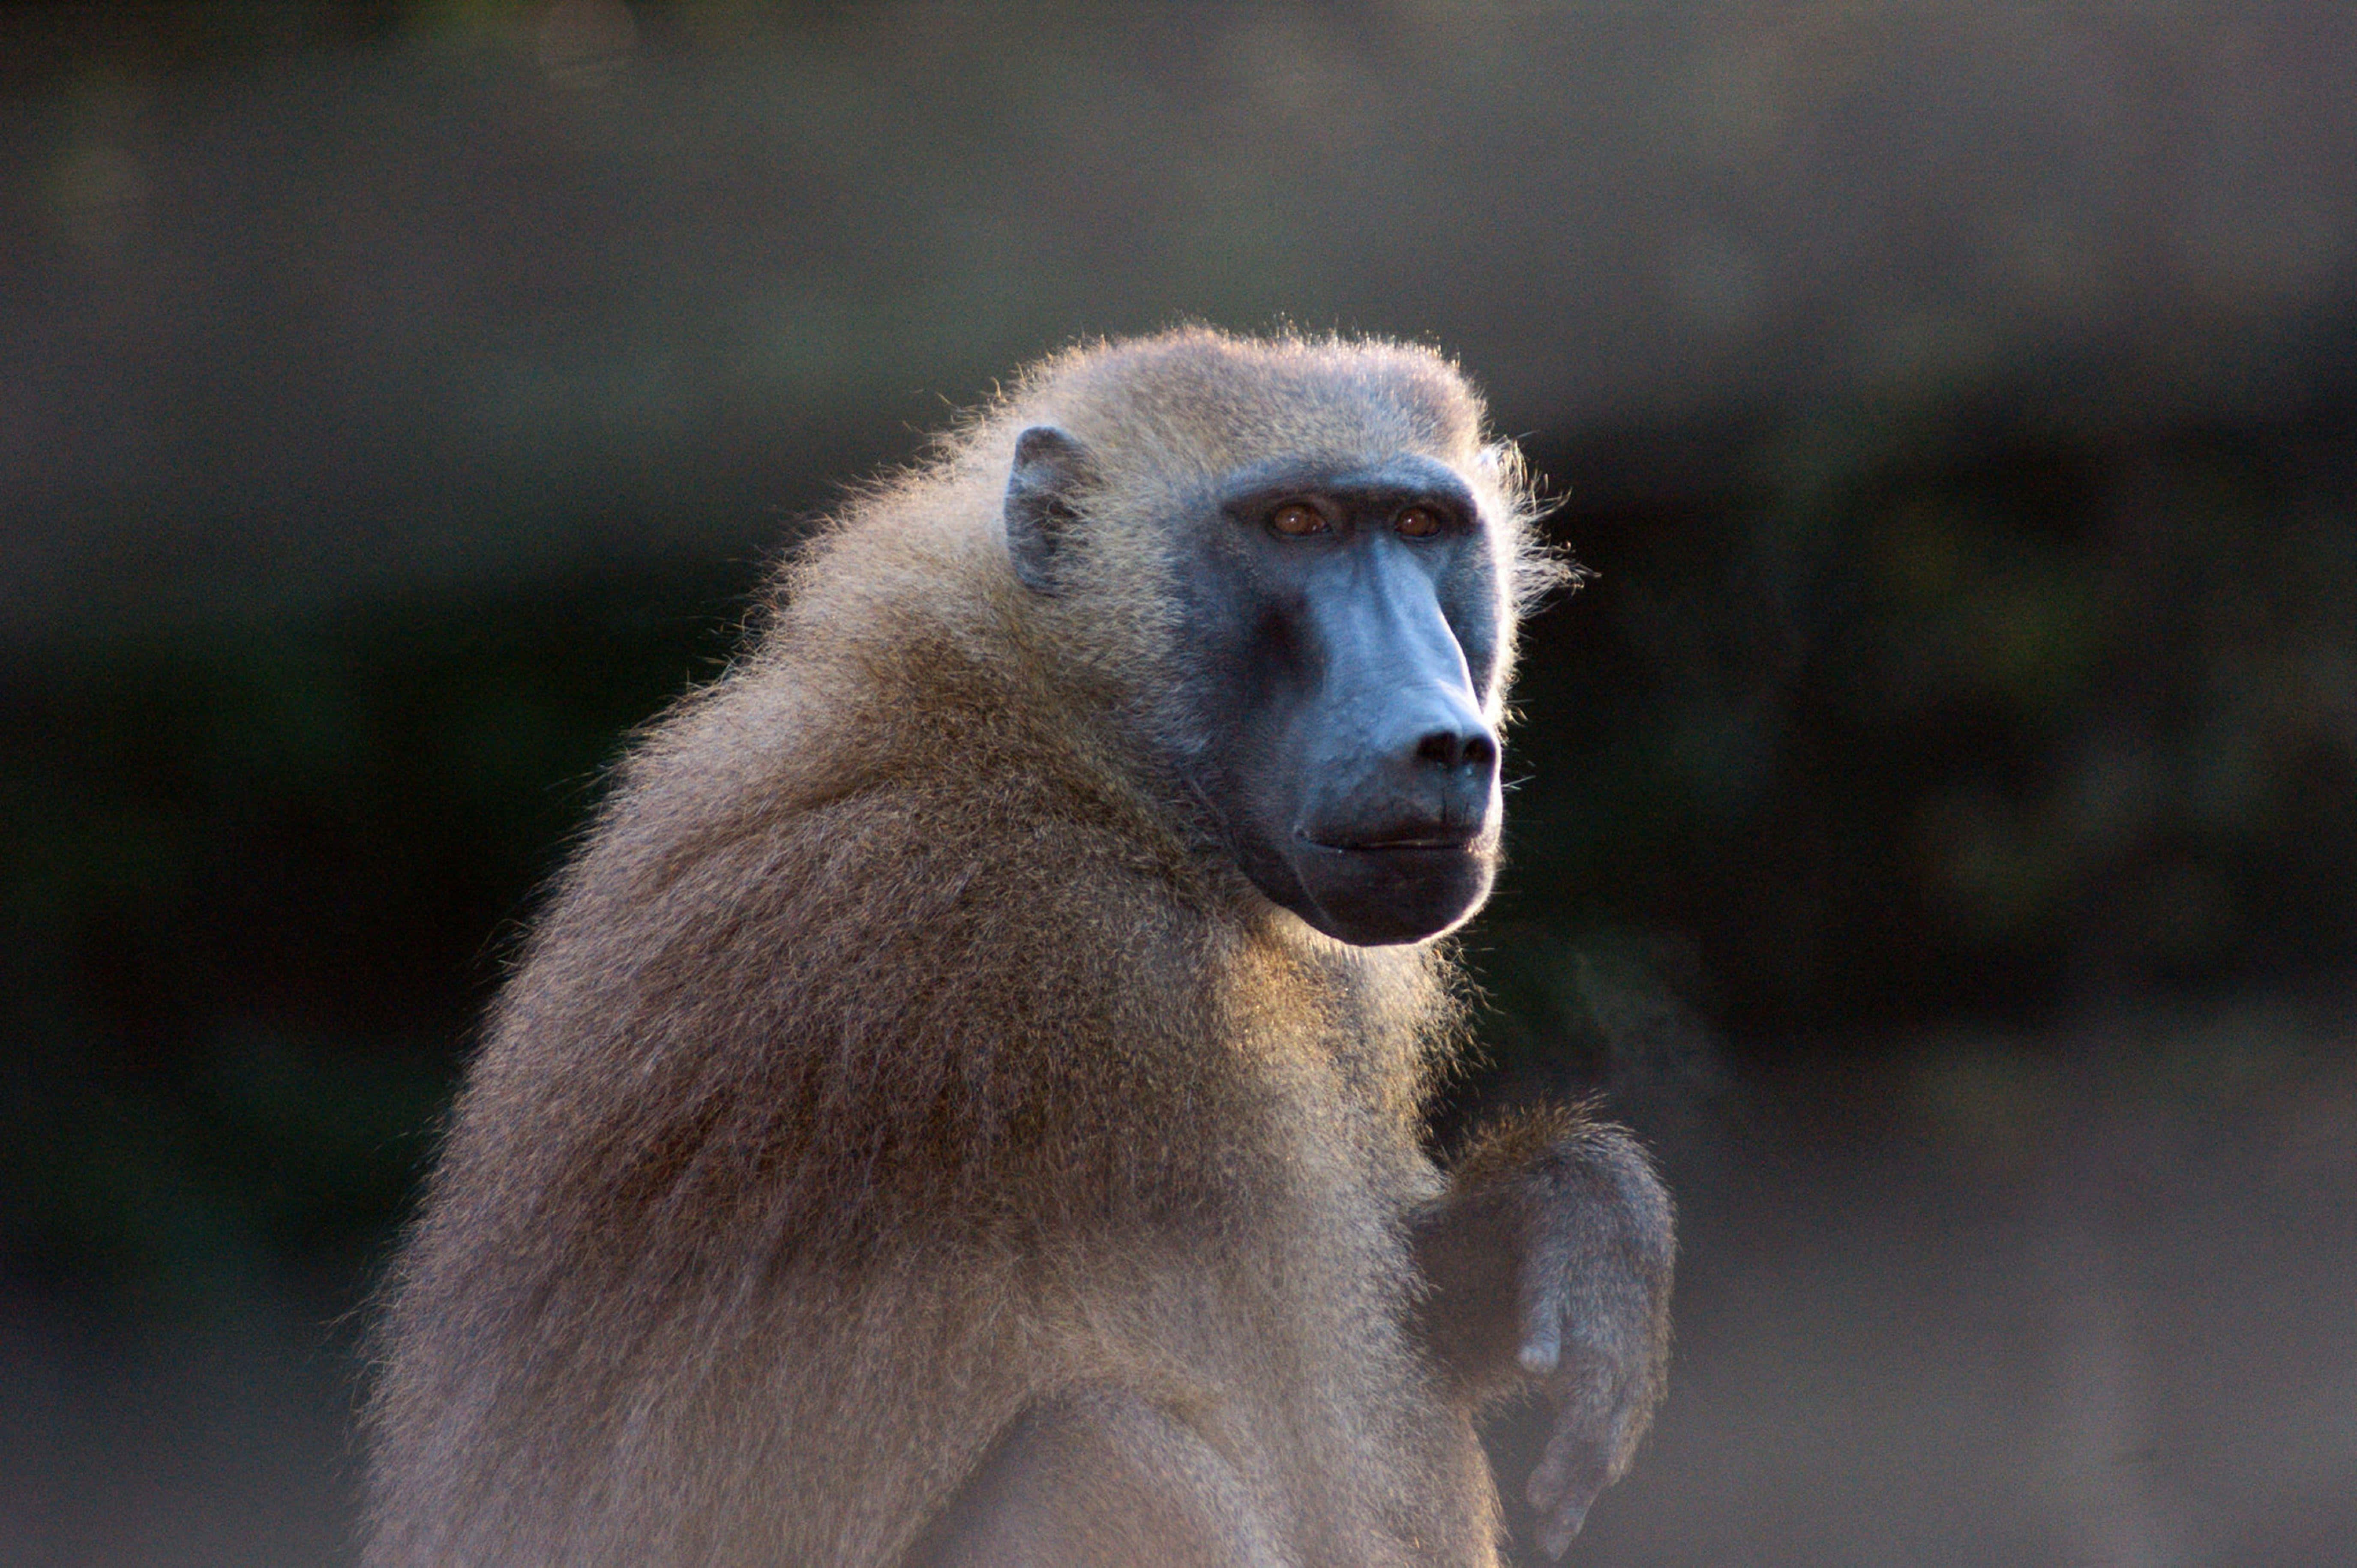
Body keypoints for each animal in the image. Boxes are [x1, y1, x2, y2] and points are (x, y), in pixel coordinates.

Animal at [361, 328, 1674, 1568]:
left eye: (1419, 526)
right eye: (1295, 524)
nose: (1442, 742)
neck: (1068, 745)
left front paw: (1569, 1220)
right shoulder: (1110, 975)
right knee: (1101, 1446)